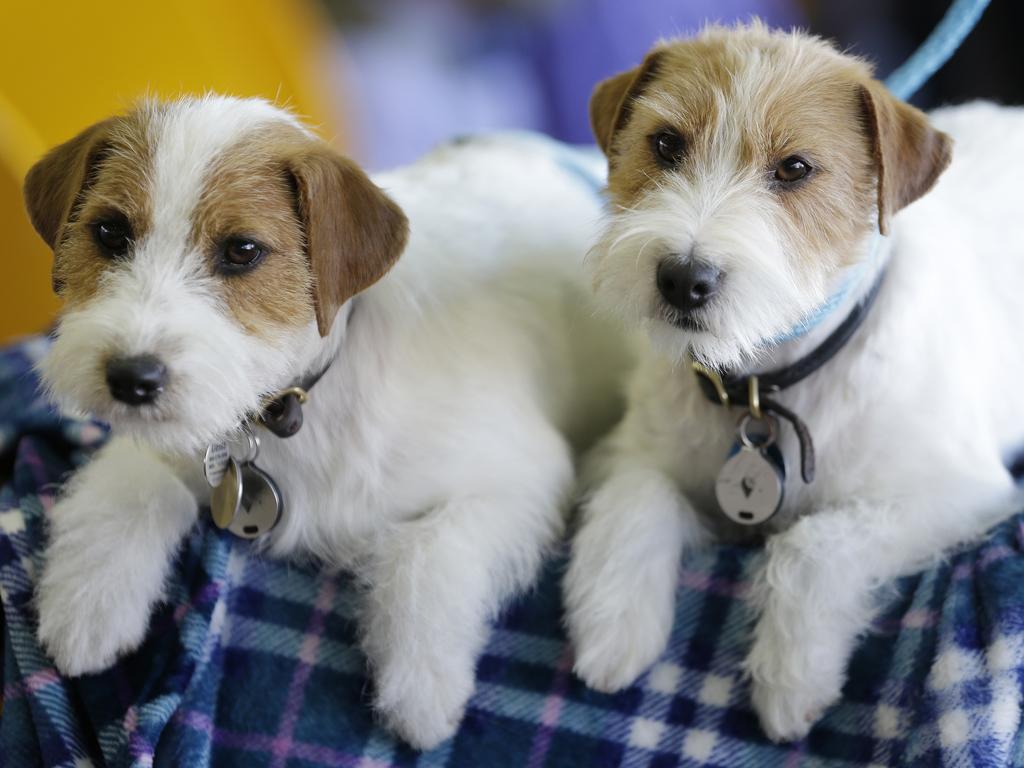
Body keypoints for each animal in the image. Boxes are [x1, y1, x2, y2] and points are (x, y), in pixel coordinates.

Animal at [25, 97, 622, 753]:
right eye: (110, 233)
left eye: (242, 251)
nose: (130, 379)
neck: (293, 409)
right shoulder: (186, 436)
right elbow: (133, 483)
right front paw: (87, 606)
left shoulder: (523, 476)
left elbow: (428, 549)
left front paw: (421, 686)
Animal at [565, 24, 1024, 741]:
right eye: (665, 144)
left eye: (795, 169)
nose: (682, 280)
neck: (762, 384)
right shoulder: (622, 451)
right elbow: (637, 498)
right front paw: (614, 627)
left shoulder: (958, 492)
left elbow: (815, 542)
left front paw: (791, 675)